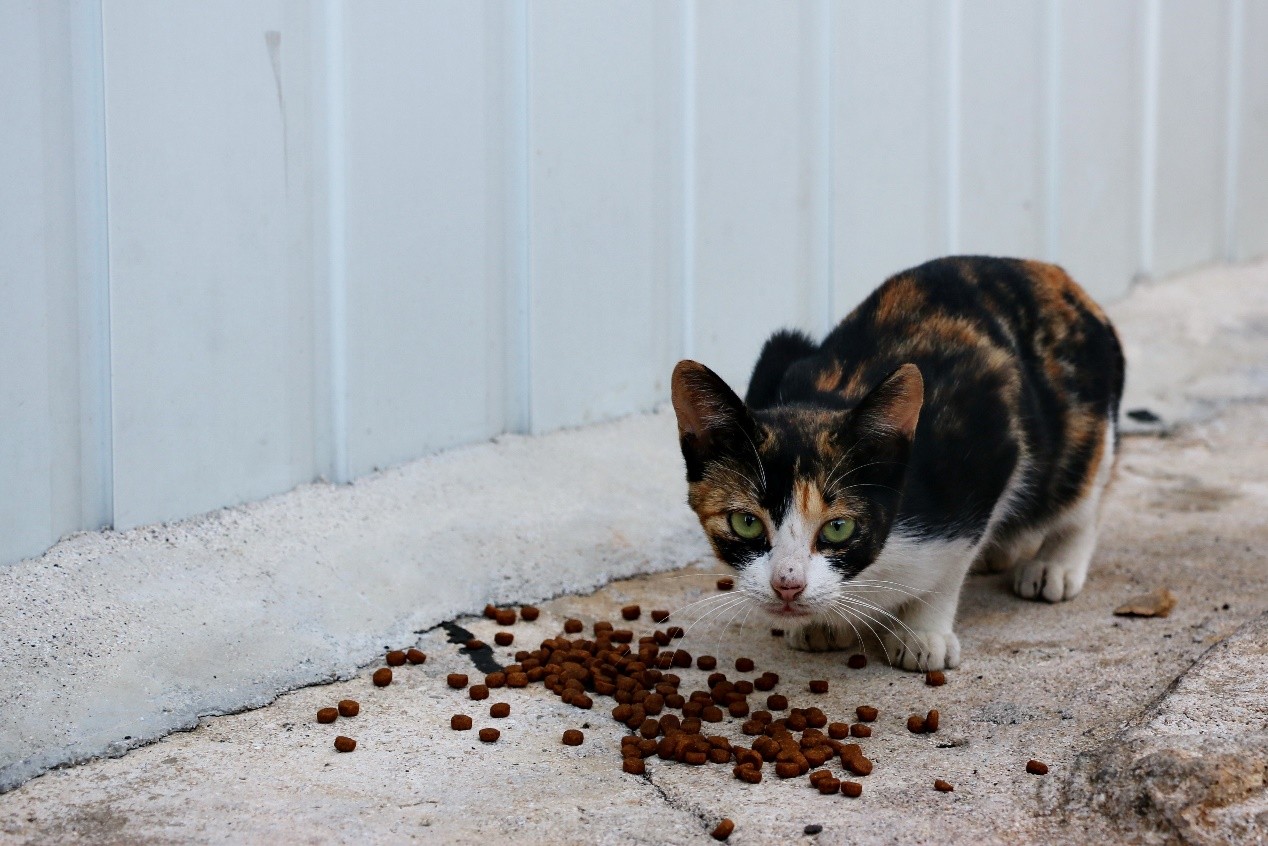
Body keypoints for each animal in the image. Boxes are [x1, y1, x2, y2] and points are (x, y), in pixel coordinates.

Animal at [669, 254, 1125, 669]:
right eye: (745, 522)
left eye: (838, 527)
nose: (788, 586)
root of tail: (1055, 275)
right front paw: (824, 624)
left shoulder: (987, 442)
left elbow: (951, 564)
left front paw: (923, 632)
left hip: (1084, 422)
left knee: (1086, 493)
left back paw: (1055, 563)